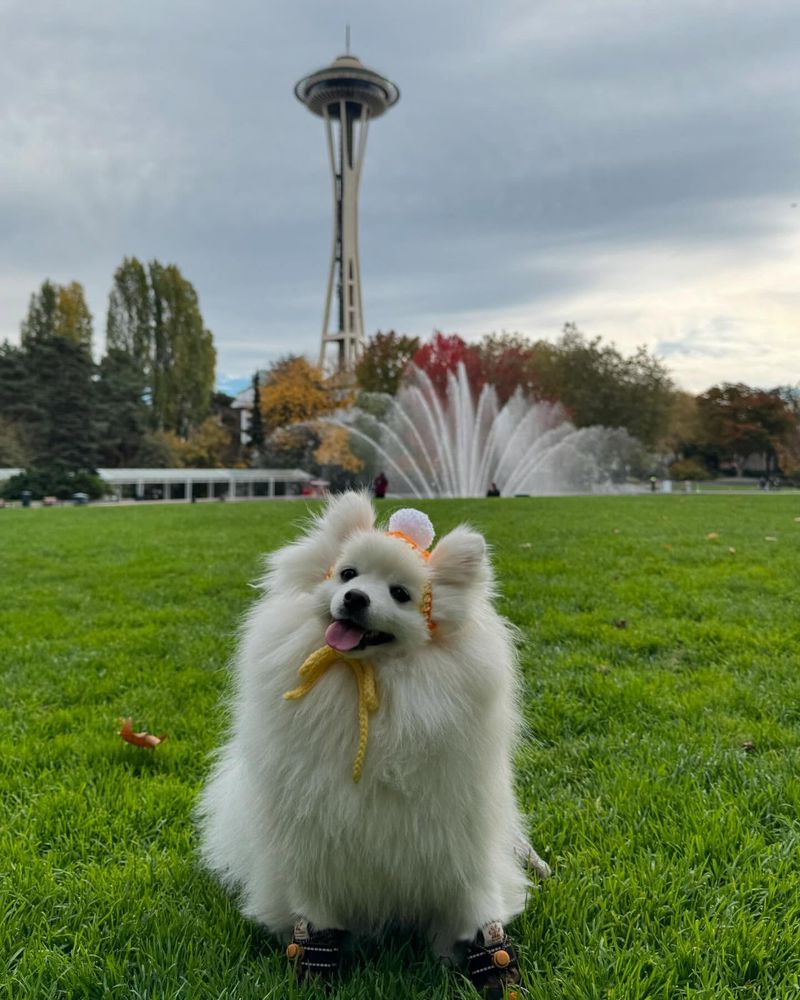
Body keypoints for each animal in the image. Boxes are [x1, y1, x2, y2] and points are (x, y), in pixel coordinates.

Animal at [195, 492, 544, 992]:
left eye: (400, 594)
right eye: (347, 574)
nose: (355, 598)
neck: (371, 678)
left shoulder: (458, 840)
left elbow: (476, 912)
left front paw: (483, 959)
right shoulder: (312, 847)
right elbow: (315, 920)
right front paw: (314, 963)